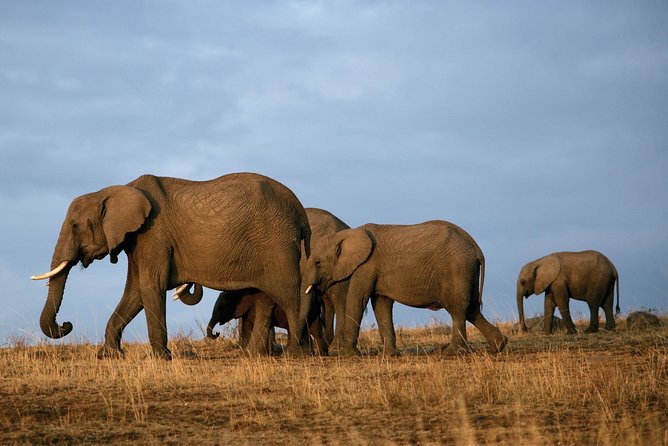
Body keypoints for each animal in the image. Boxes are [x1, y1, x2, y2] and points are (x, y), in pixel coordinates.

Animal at [31, 173, 312, 359]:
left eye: (75, 225)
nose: (66, 325)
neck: (117, 190)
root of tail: (300, 212)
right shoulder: (138, 240)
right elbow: (135, 292)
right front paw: (108, 355)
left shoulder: (153, 234)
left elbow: (149, 286)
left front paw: (161, 357)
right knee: (265, 298)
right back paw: (257, 355)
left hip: (277, 244)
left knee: (288, 296)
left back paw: (295, 354)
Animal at [302, 220, 508, 356]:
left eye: (318, 262)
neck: (347, 234)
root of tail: (476, 248)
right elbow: (381, 305)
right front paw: (390, 355)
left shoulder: (366, 266)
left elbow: (357, 300)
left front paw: (348, 355)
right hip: (467, 272)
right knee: (472, 309)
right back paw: (498, 346)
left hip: (457, 269)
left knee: (458, 310)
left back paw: (450, 352)